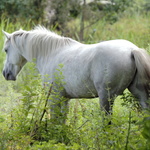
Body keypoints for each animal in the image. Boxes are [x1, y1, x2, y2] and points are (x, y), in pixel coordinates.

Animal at [1, 26, 150, 120]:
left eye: (6, 50)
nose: (5, 74)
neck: (51, 52)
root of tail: (132, 50)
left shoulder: (54, 97)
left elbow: (54, 119)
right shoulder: (64, 98)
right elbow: (61, 121)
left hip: (106, 97)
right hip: (138, 93)